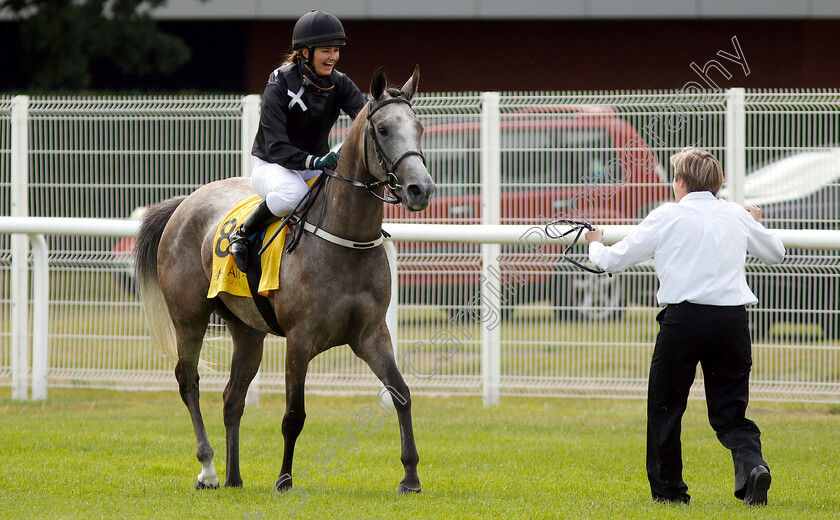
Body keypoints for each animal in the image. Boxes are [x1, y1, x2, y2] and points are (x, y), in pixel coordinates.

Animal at [133, 67, 434, 494]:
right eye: (384, 129)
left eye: (419, 127)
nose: (420, 189)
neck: (346, 238)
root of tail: (184, 203)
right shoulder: (300, 338)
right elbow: (294, 414)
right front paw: (284, 479)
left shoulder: (372, 334)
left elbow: (401, 394)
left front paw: (410, 476)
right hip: (189, 317)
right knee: (188, 381)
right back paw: (209, 469)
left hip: (247, 330)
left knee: (232, 398)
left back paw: (234, 476)